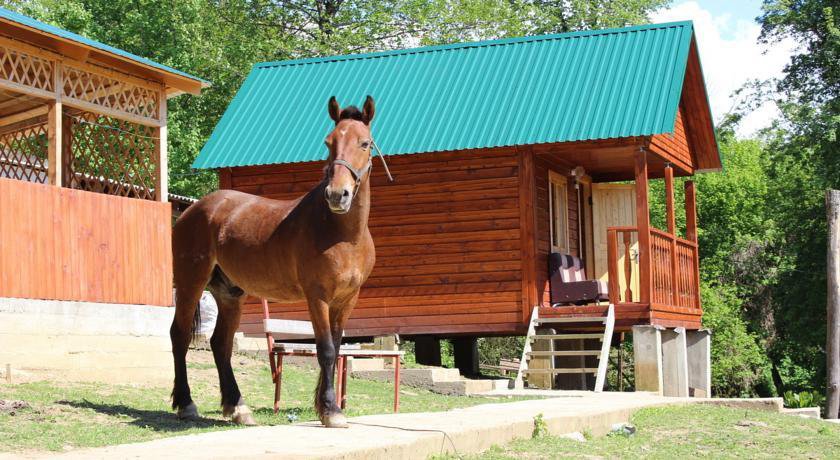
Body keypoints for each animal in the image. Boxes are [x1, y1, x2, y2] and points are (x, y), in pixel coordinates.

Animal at [169, 96, 376, 428]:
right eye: (328, 142)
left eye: (365, 143)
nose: (337, 195)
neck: (342, 234)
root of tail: (194, 209)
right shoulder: (317, 297)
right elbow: (326, 350)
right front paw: (331, 410)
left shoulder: (347, 300)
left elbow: (336, 346)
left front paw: (326, 407)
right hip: (191, 283)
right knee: (180, 335)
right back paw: (187, 404)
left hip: (230, 294)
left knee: (220, 344)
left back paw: (237, 407)